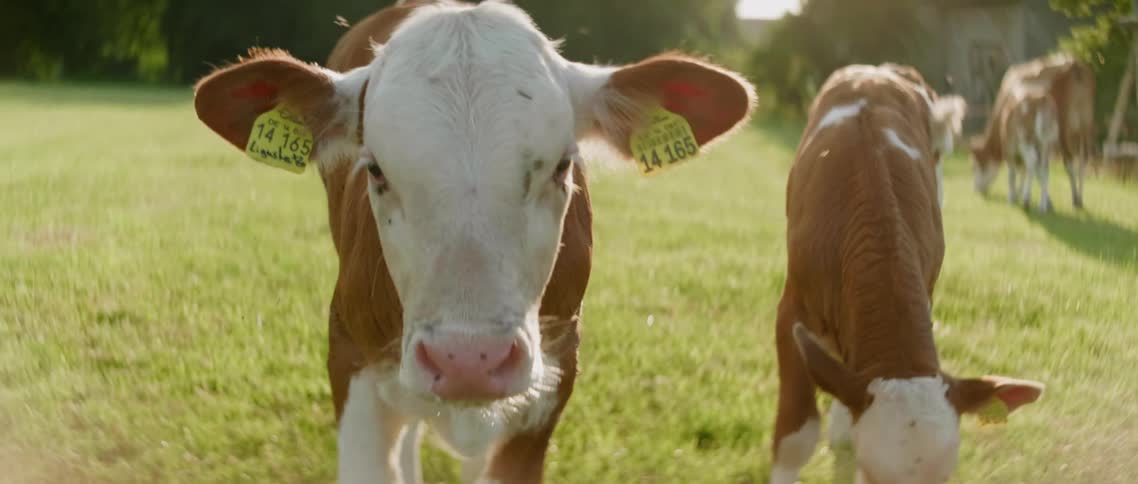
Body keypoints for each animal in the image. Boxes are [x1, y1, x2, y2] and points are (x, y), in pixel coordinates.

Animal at [970, 54, 1095, 209]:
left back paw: (1072, 199)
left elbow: (1025, 167)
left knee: (1067, 161)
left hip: (1061, 129)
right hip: (1085, 125)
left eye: (974, 166)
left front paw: (1023, 196)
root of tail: (1074, 65)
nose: (977, 190)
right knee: (1083, 159)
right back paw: (1079, 199)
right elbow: (1031, 167)